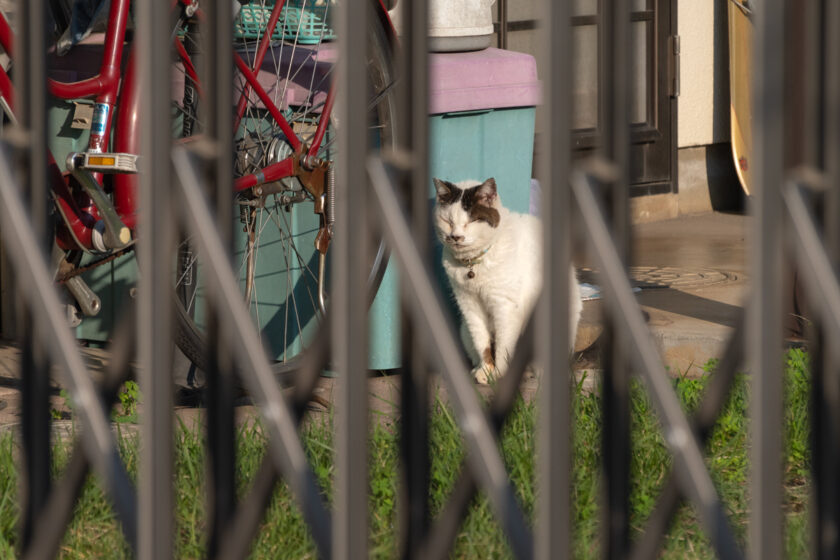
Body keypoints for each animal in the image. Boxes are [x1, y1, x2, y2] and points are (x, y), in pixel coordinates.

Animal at [434, 177, 576, 382]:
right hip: (464, 331)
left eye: (471, 221)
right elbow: (482, 342)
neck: (474, 264)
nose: (456, 237)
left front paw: (500, 373)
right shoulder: (469, 305)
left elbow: (504, 344)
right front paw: (486, 370)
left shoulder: (505, 306)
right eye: (447, 221)